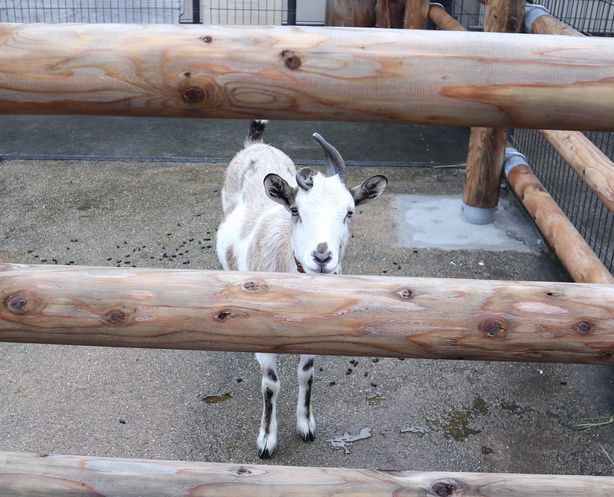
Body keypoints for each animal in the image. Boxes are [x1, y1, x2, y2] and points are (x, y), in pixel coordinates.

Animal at [218, 121, 390, 458]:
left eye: (349, 212)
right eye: (296, 211)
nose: (322, 257)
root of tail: (256, 144)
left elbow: (306, 373)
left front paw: (306, 424)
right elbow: (270, 384)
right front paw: (267, 440)